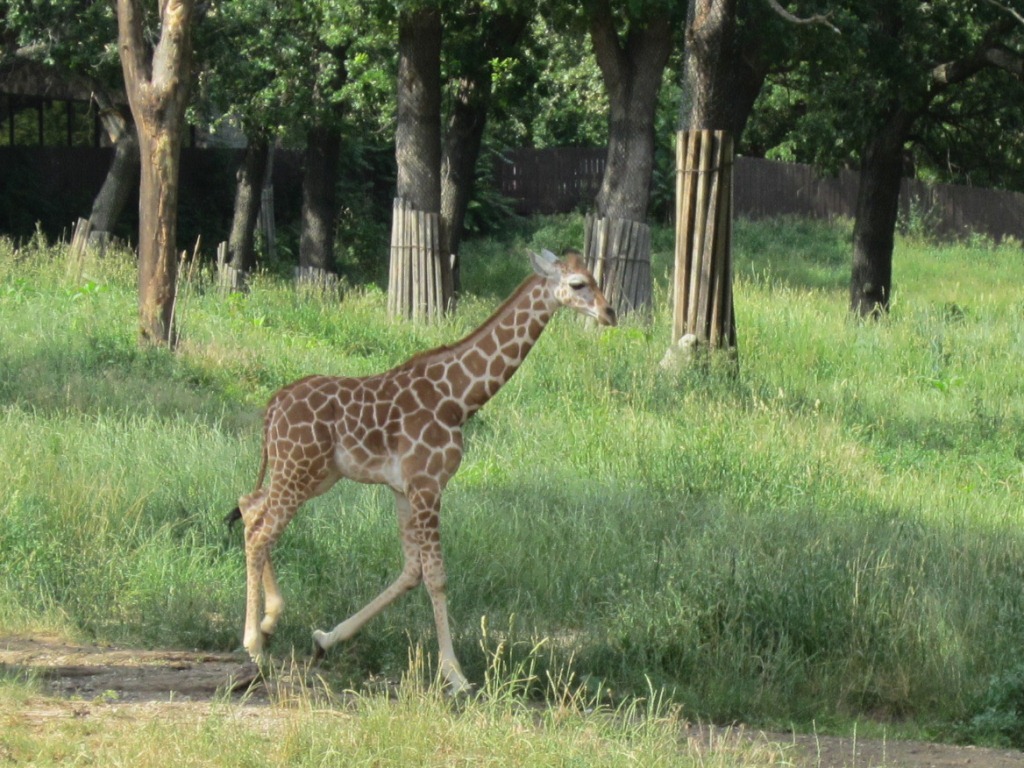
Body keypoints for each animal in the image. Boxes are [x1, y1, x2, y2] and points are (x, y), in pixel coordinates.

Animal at [230, 248, 616, 694]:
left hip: (310, 474)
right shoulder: (428, 485)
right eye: (577, 284)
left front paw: (326, 638)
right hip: (297, 470)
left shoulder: (404, 488)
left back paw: (269, 623)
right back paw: (254, 646)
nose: (609, 312)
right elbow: (436, 575)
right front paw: (456, 676)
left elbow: (411, 571)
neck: (460, 398)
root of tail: (273, 405)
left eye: (594, 277)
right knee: (261, 532)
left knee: (249, 506)